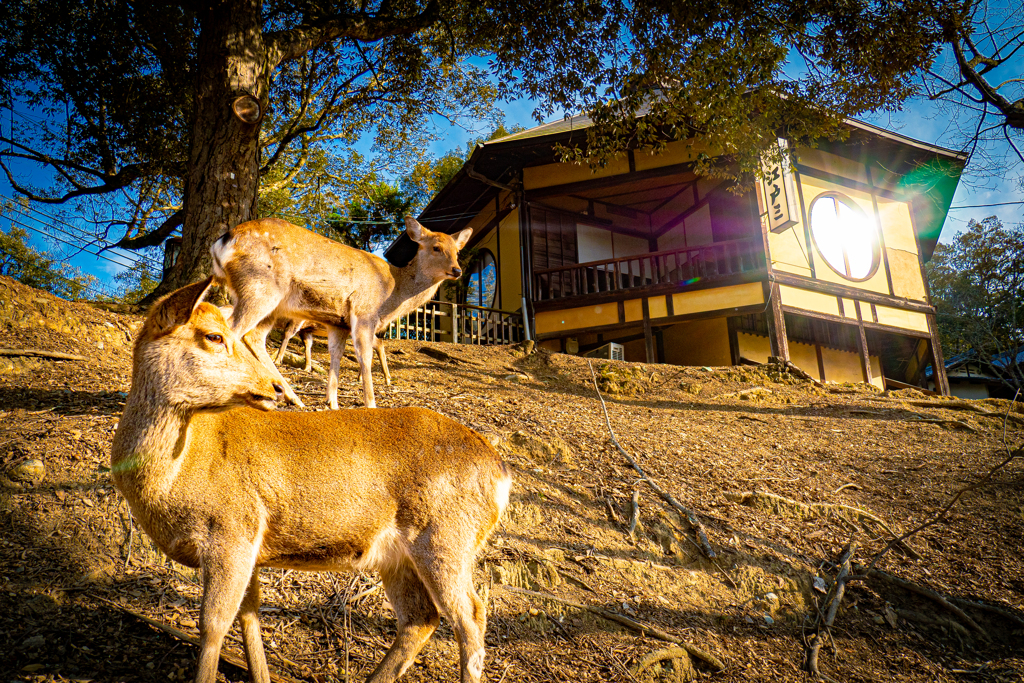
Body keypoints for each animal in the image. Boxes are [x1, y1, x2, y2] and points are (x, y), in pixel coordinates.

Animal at [112, 278, 512, 683]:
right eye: (213, 335)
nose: (272, 386)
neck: (174, 479)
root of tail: (501, 471)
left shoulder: (232, 528)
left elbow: (213, 625)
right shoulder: (250, 545)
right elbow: (249, 613)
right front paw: (261, 675)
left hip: (447, 535)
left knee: (471, 615)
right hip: (398, 556)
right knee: (421, 618)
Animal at [212, 216, 475, 409]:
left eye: (457, 251)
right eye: (436, 247)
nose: (457, 270)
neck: (392, 292)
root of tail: (222, 242)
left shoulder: (338, 323)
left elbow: (335, 356)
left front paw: (333, 403)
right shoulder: (364, 311)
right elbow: (364, 356)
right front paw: (371, 404)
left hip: (267, 302)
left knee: (252, 336)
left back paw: (294, 398)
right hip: (261, 287)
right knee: (232, 331)